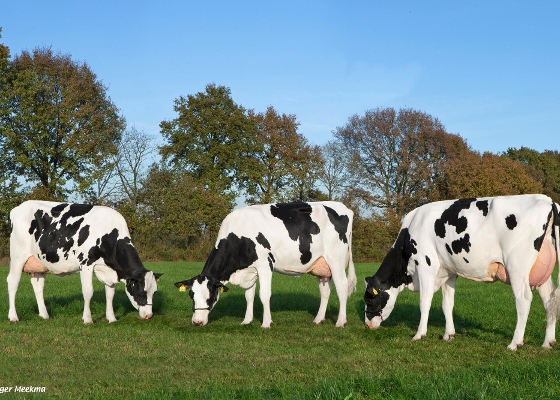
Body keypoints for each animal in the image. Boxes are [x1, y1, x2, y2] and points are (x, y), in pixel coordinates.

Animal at [7, 200, 162, 322]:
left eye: (154, 292)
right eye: (141, 293)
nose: (149, 316)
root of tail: (18, 208)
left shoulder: (108, 270)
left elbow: (110, 293)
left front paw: (112, 318)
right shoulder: (86, 263)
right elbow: (88, 291)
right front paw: (87, 319)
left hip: (39, 262)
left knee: (38, 285)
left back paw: (44, 315)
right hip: (18, 257)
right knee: (13, 282)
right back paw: (13, 317)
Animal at [174, 202, 354, 326]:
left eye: (210, 297)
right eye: (191, 295)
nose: (197, 322)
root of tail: (344, 208)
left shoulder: (265, 265)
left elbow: (264, 294)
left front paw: (266, 323)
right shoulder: (250, 269)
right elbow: (249, 295)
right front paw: (246, 321)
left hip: (336, 260)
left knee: (342, 287)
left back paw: (340, 322)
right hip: (322, 266)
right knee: (325, 291)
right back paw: (318, 319)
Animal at [364, 194, 560, 350]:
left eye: (369, 299)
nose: (367, 325)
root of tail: (546, 199)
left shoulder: (426, 266)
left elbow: (424, 303)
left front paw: (419, 334)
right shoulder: (449, 272)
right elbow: (447, 304)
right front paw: (448, 335)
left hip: (516, 267)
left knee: (524, 300)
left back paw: (514, 343)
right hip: (542, 273)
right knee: (550, 300)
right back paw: (548, 342)